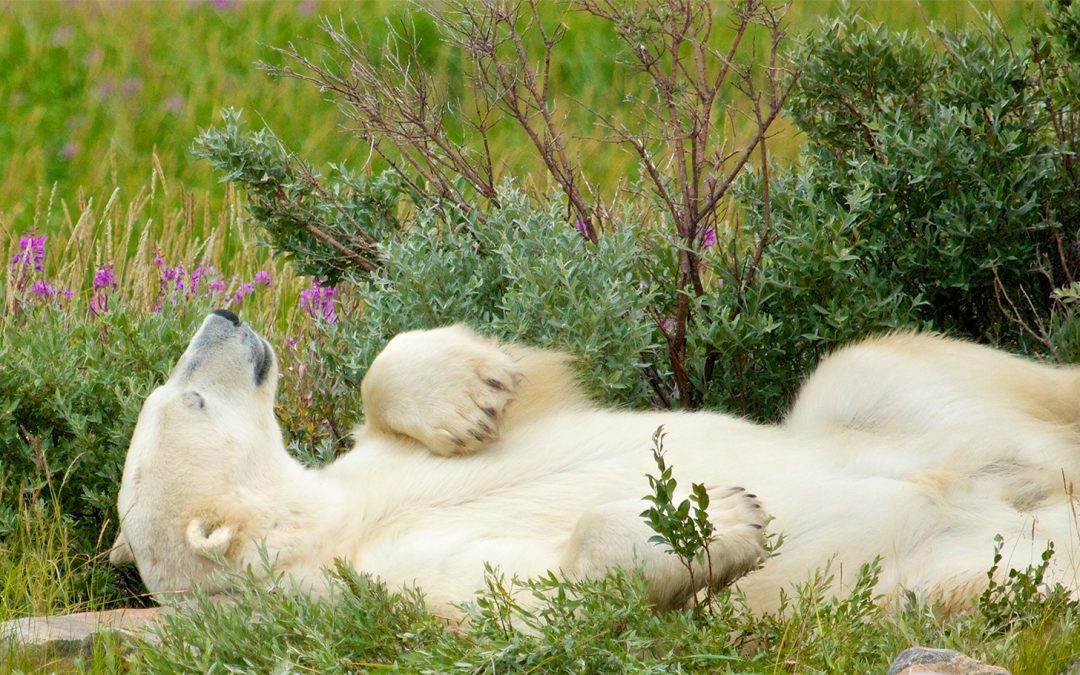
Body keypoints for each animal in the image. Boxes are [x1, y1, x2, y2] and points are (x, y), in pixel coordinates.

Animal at [110, 309, 1080, 619]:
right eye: (187, 402)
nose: (224, 314)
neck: (326, 529)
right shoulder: (387, 588)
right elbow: (539, 596)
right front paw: (726, 519)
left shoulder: (366, 473)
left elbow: (486, 391)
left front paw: (472, 394)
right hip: (950, 573)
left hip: (902, 415)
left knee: (875, 370)